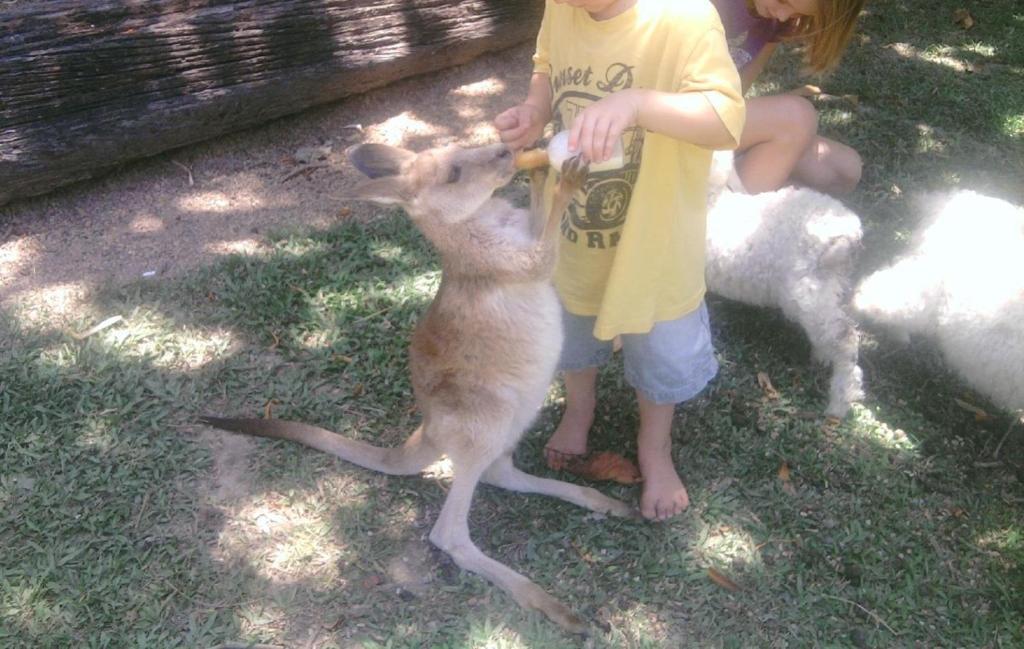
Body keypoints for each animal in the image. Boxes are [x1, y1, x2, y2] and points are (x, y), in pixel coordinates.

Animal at [704, 151, 864, 413]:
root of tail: (848, 235)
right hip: (827, 289)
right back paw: (822, 357)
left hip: (806, 294)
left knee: (845, 338)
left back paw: (839, 402)